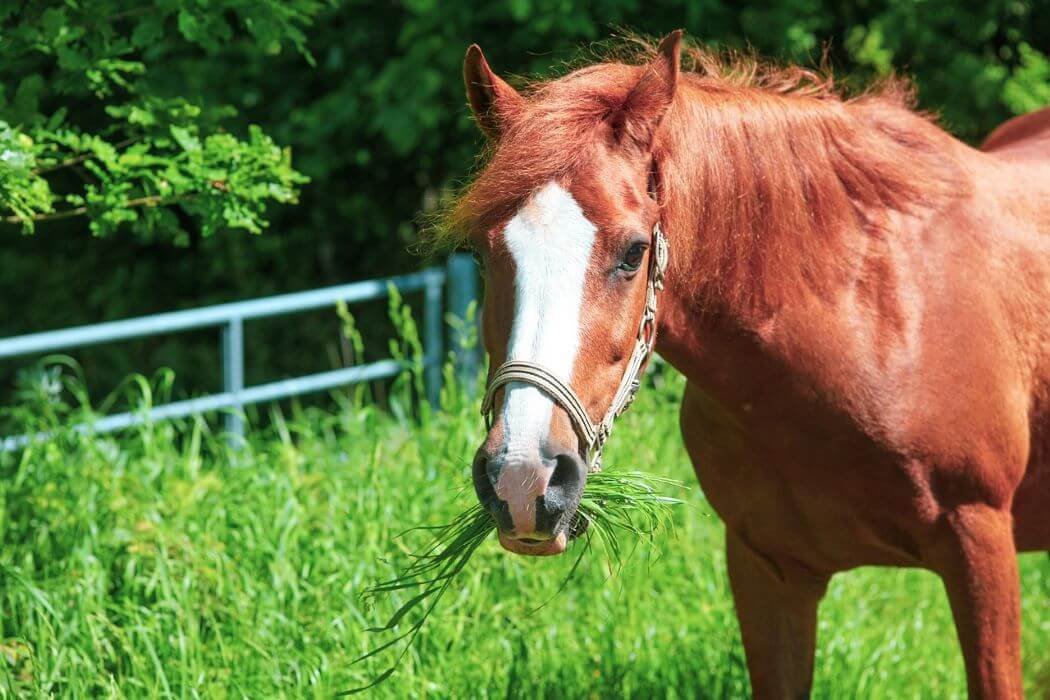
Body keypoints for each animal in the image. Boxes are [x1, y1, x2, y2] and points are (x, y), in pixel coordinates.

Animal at [443, 30, 1050, 696]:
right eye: (482, 254)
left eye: (633, 252)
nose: (523, 478)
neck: (866, 323)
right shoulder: (766, 573)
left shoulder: (980, 550)